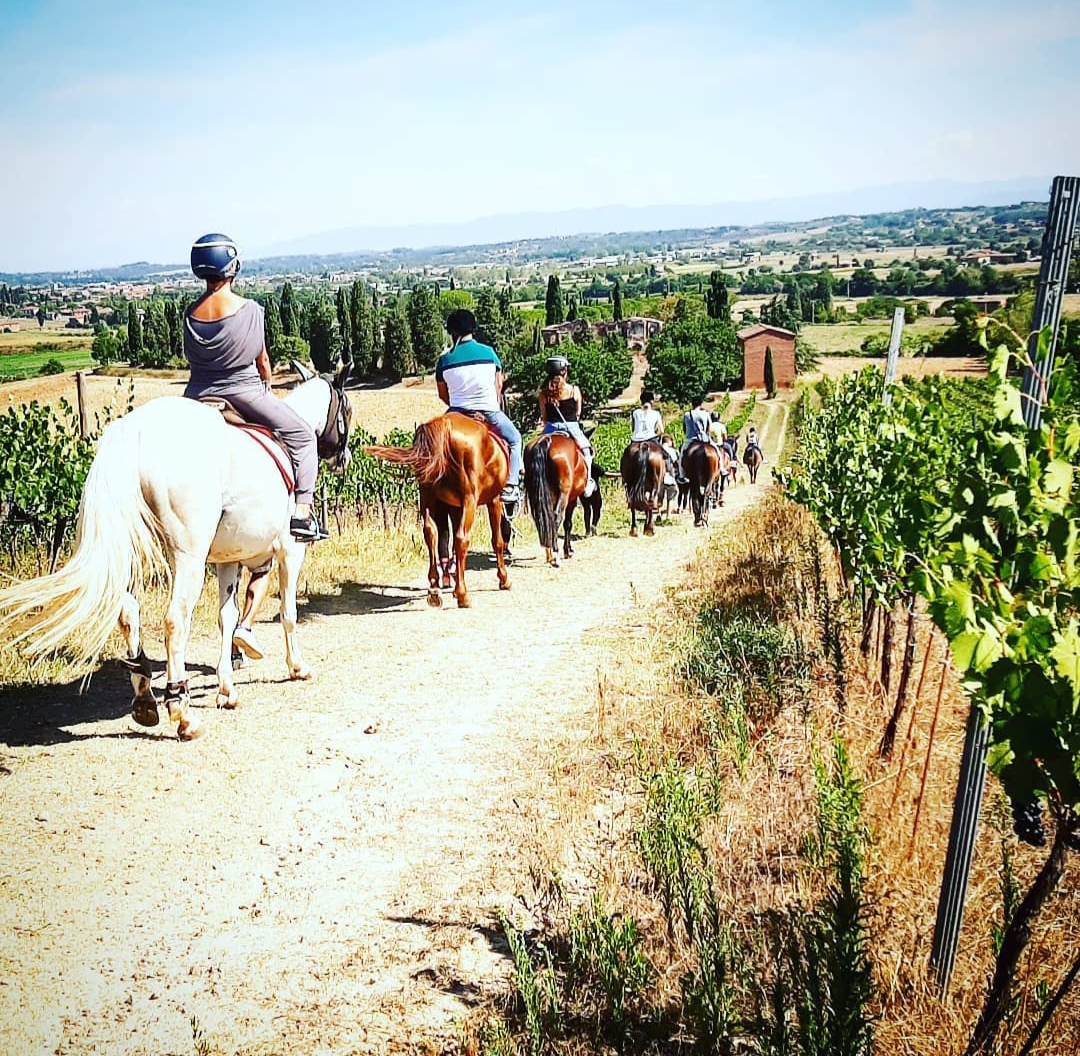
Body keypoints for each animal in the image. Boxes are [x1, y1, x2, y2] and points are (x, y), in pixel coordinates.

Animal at [0, 362, 349, 742]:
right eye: (346, 409)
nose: (343, 459)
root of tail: (135, 431)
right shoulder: (289, 551)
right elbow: (287, 613)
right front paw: (297, 667)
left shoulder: (227, 562)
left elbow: (226, 618)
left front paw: (226, 689)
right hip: (187, 557)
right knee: (175, 620)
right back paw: (182, 713)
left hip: (134, 550)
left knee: (127, 610)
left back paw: (144, 698)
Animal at [367, 412, 509, 608]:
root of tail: (445, 425)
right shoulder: (493, 500)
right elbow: (497, 541)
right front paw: (504, 579)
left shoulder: (456, 507)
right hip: (469, 500)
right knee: (461, 538)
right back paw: (463, 595)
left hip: (427, 497)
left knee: (430, 533)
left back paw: (434, 589)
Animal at [520, 429, 583, 570]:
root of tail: (545, 441)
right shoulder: (572, 499)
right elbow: (568, 523)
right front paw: (568, 550)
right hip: (564, 495)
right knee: (556, 518)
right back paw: (556, 556)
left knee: (542, 519)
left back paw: (549, 555)